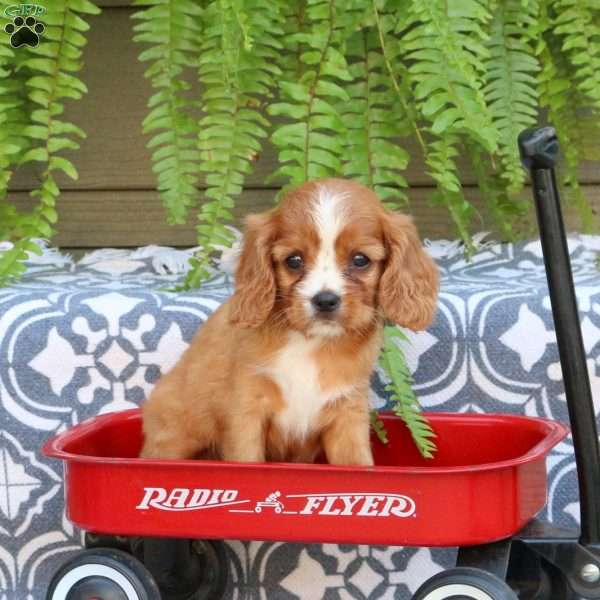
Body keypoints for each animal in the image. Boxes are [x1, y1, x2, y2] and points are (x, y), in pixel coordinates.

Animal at [142, 178, 438, 468]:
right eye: (293, 260)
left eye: (360, 260)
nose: (325, 300)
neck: (309, 342)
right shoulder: (246, 412)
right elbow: (246, 459)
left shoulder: (348, 413)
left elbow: (356, 463)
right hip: (173, 438)